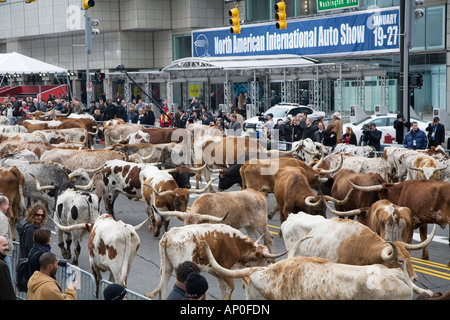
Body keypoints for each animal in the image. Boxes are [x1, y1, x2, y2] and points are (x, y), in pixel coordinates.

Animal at [144, 222, 284, 300]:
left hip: (166, 268)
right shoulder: (226, 268)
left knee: (162, 289)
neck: (236, 243)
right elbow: (230, 289)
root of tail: (169, 235)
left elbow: (223, 288)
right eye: (267, 260)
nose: (271, 268)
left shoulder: (217, 271)